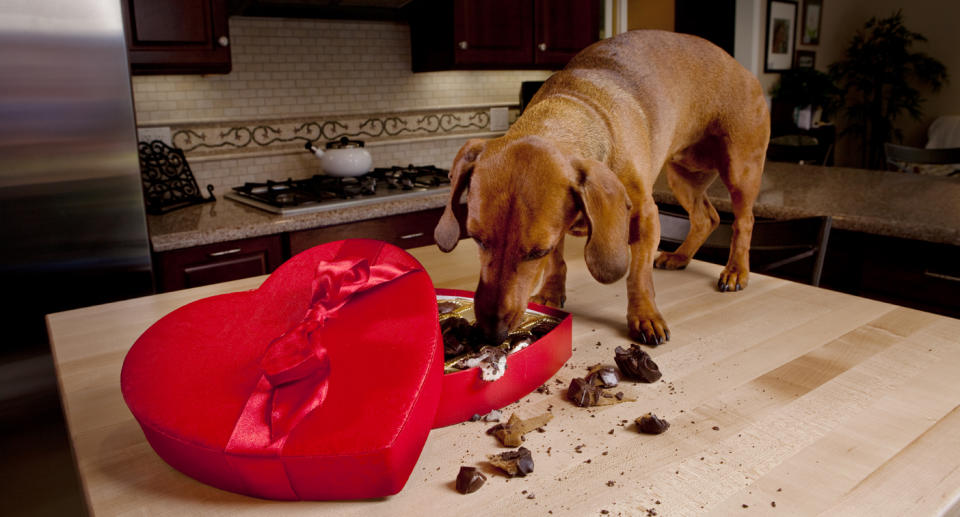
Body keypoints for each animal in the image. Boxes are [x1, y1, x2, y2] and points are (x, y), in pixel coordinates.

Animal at [436, 31, 772, 346]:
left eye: (536, 252)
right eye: (477, 239)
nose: (492, 334)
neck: (573, 108)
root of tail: (741, 68)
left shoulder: (646, 216)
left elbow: (638, 274)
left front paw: (645, 316)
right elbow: (557, 263)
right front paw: (550, 292)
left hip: (740, 170)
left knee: (744, 221)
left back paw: (736, 270)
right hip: (683, 176)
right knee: (707, 218)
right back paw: (679, 257)